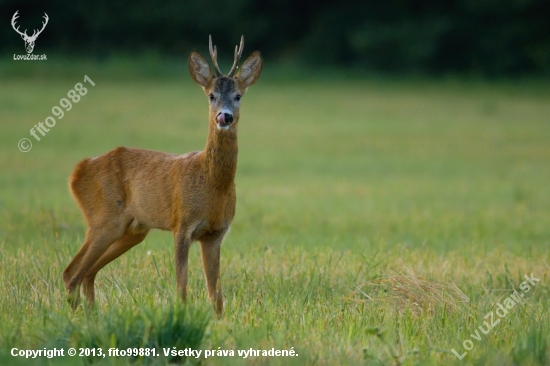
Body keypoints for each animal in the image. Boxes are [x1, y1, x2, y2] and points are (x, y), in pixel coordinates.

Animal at [61, 35, 264, 316]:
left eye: (238, 96)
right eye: (211, 95)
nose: (224, 117)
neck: (213, 184)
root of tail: (77, 171)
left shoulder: (215, 234)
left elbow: (216, 295)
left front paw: (220, 323)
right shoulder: (182, 224)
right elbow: (182, 286)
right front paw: (181, 315)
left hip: (133, 230)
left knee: (87, 273)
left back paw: (92, 315)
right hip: (103, 218)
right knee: (71, 272)